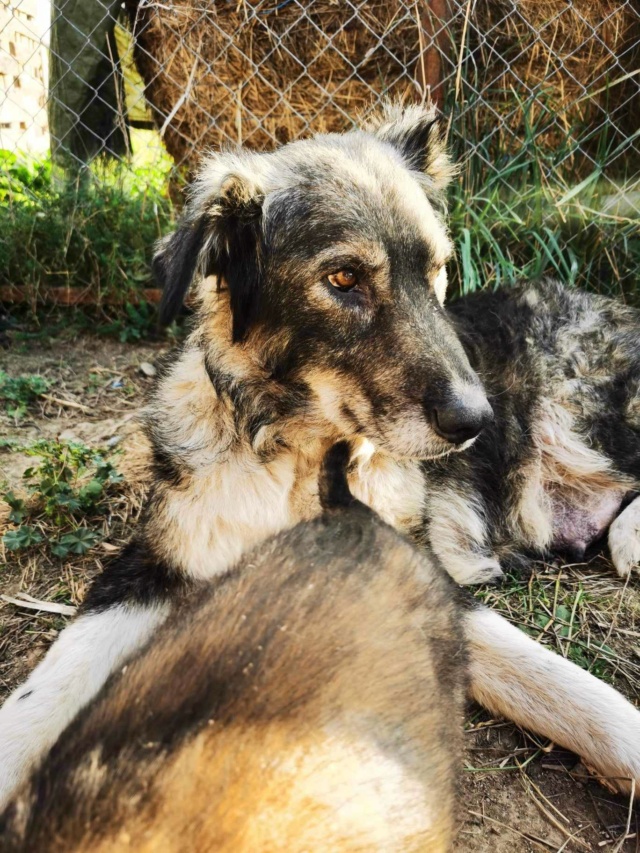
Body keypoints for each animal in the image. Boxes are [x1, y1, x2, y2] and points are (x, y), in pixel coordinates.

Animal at [1, 101, 640, 804]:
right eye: (342, 278)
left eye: (438, 269)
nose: (477, 421)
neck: (293, 464)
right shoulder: (150, 565)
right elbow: (47, 686)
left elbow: (567, 685)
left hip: (585, 423)